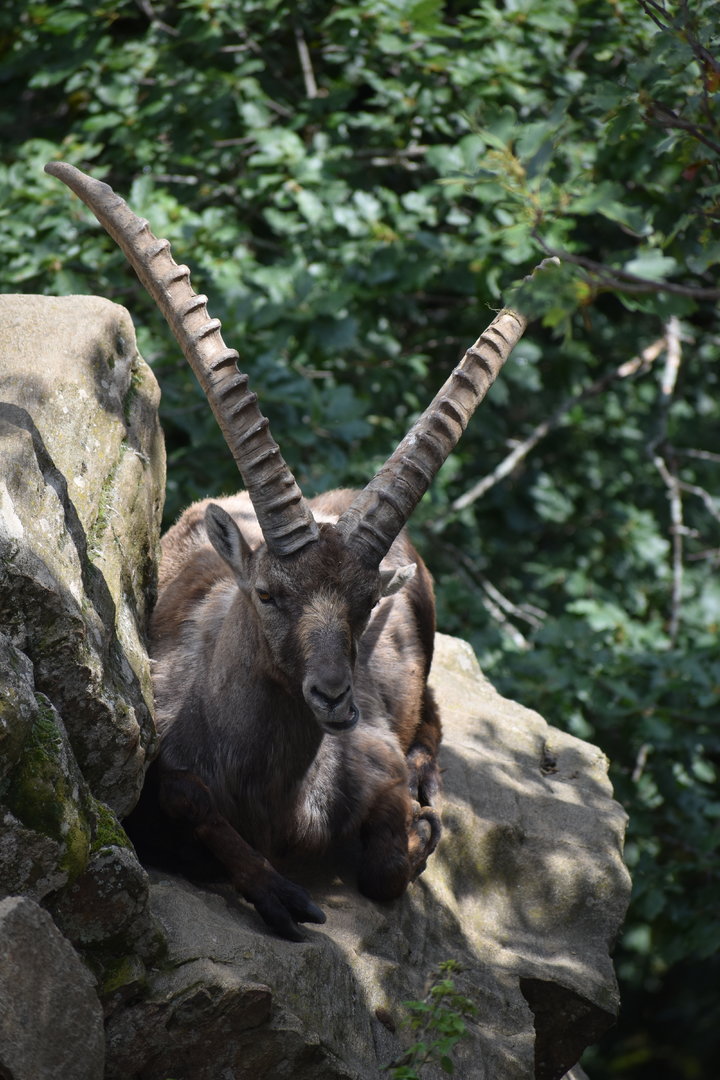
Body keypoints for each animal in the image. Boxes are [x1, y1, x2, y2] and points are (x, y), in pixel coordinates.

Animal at [46, 161, 532, 940]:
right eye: (269, 593)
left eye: (364, 606)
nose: (333, 695)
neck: (273, 789)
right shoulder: (158, 774)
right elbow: (187, 804)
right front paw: (278, 893)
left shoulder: (375, 761)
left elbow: (385, 867)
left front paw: (421, 833)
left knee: (432, 714)